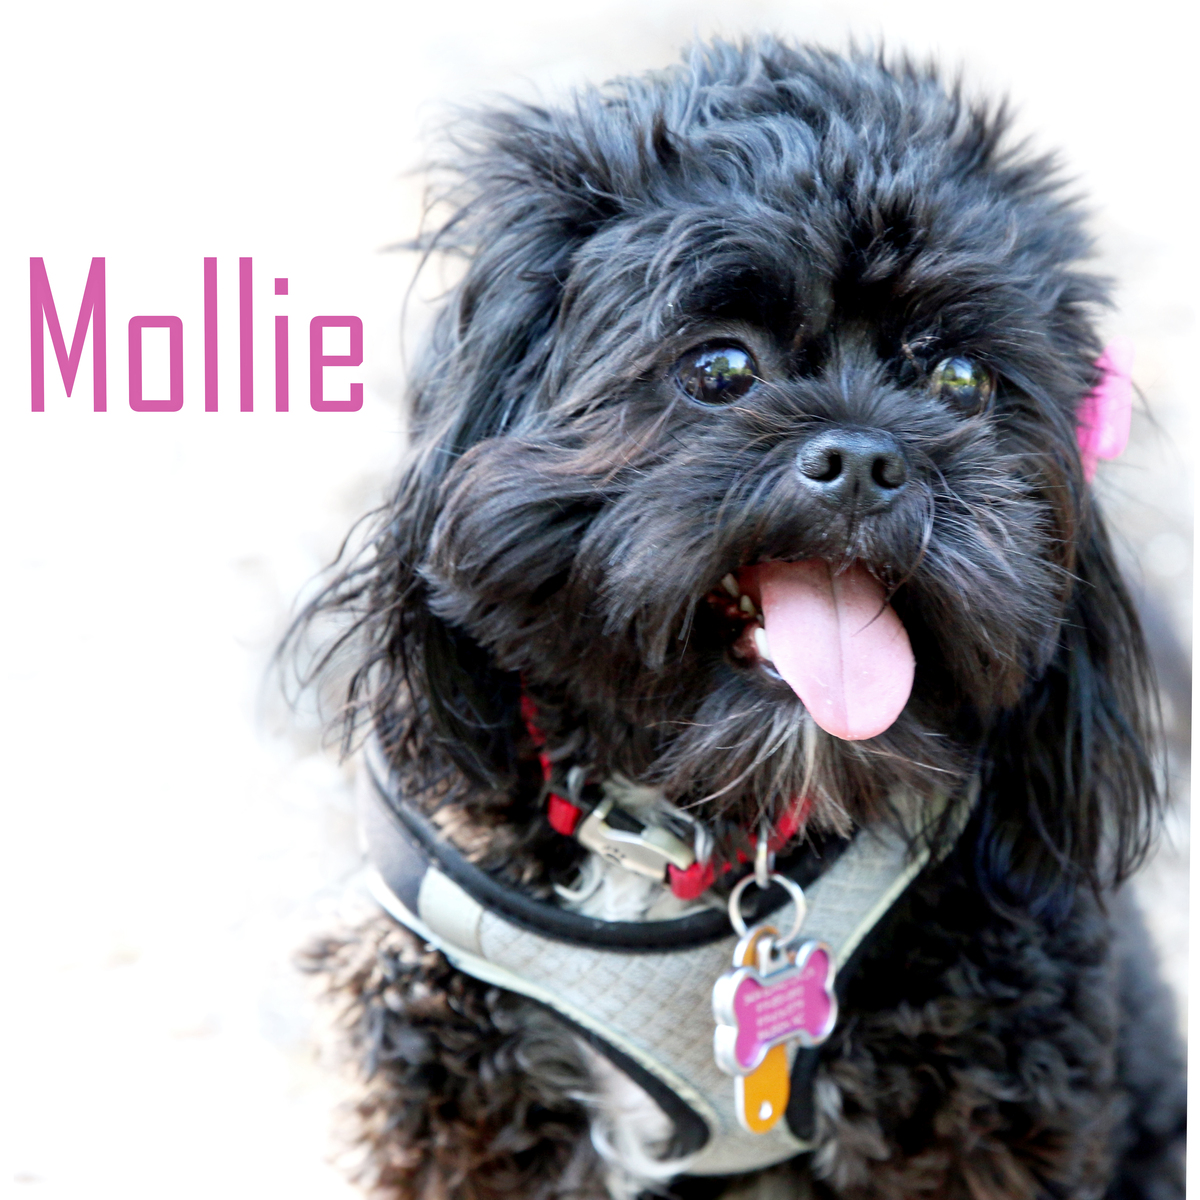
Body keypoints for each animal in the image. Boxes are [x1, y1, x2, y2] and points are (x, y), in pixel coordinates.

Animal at [293, 39, 1186, 1200]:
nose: (867, 458)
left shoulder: (978, 1102)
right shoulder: (462, 1092)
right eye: (720, 366)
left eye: (960, 378)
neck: (698, 840)